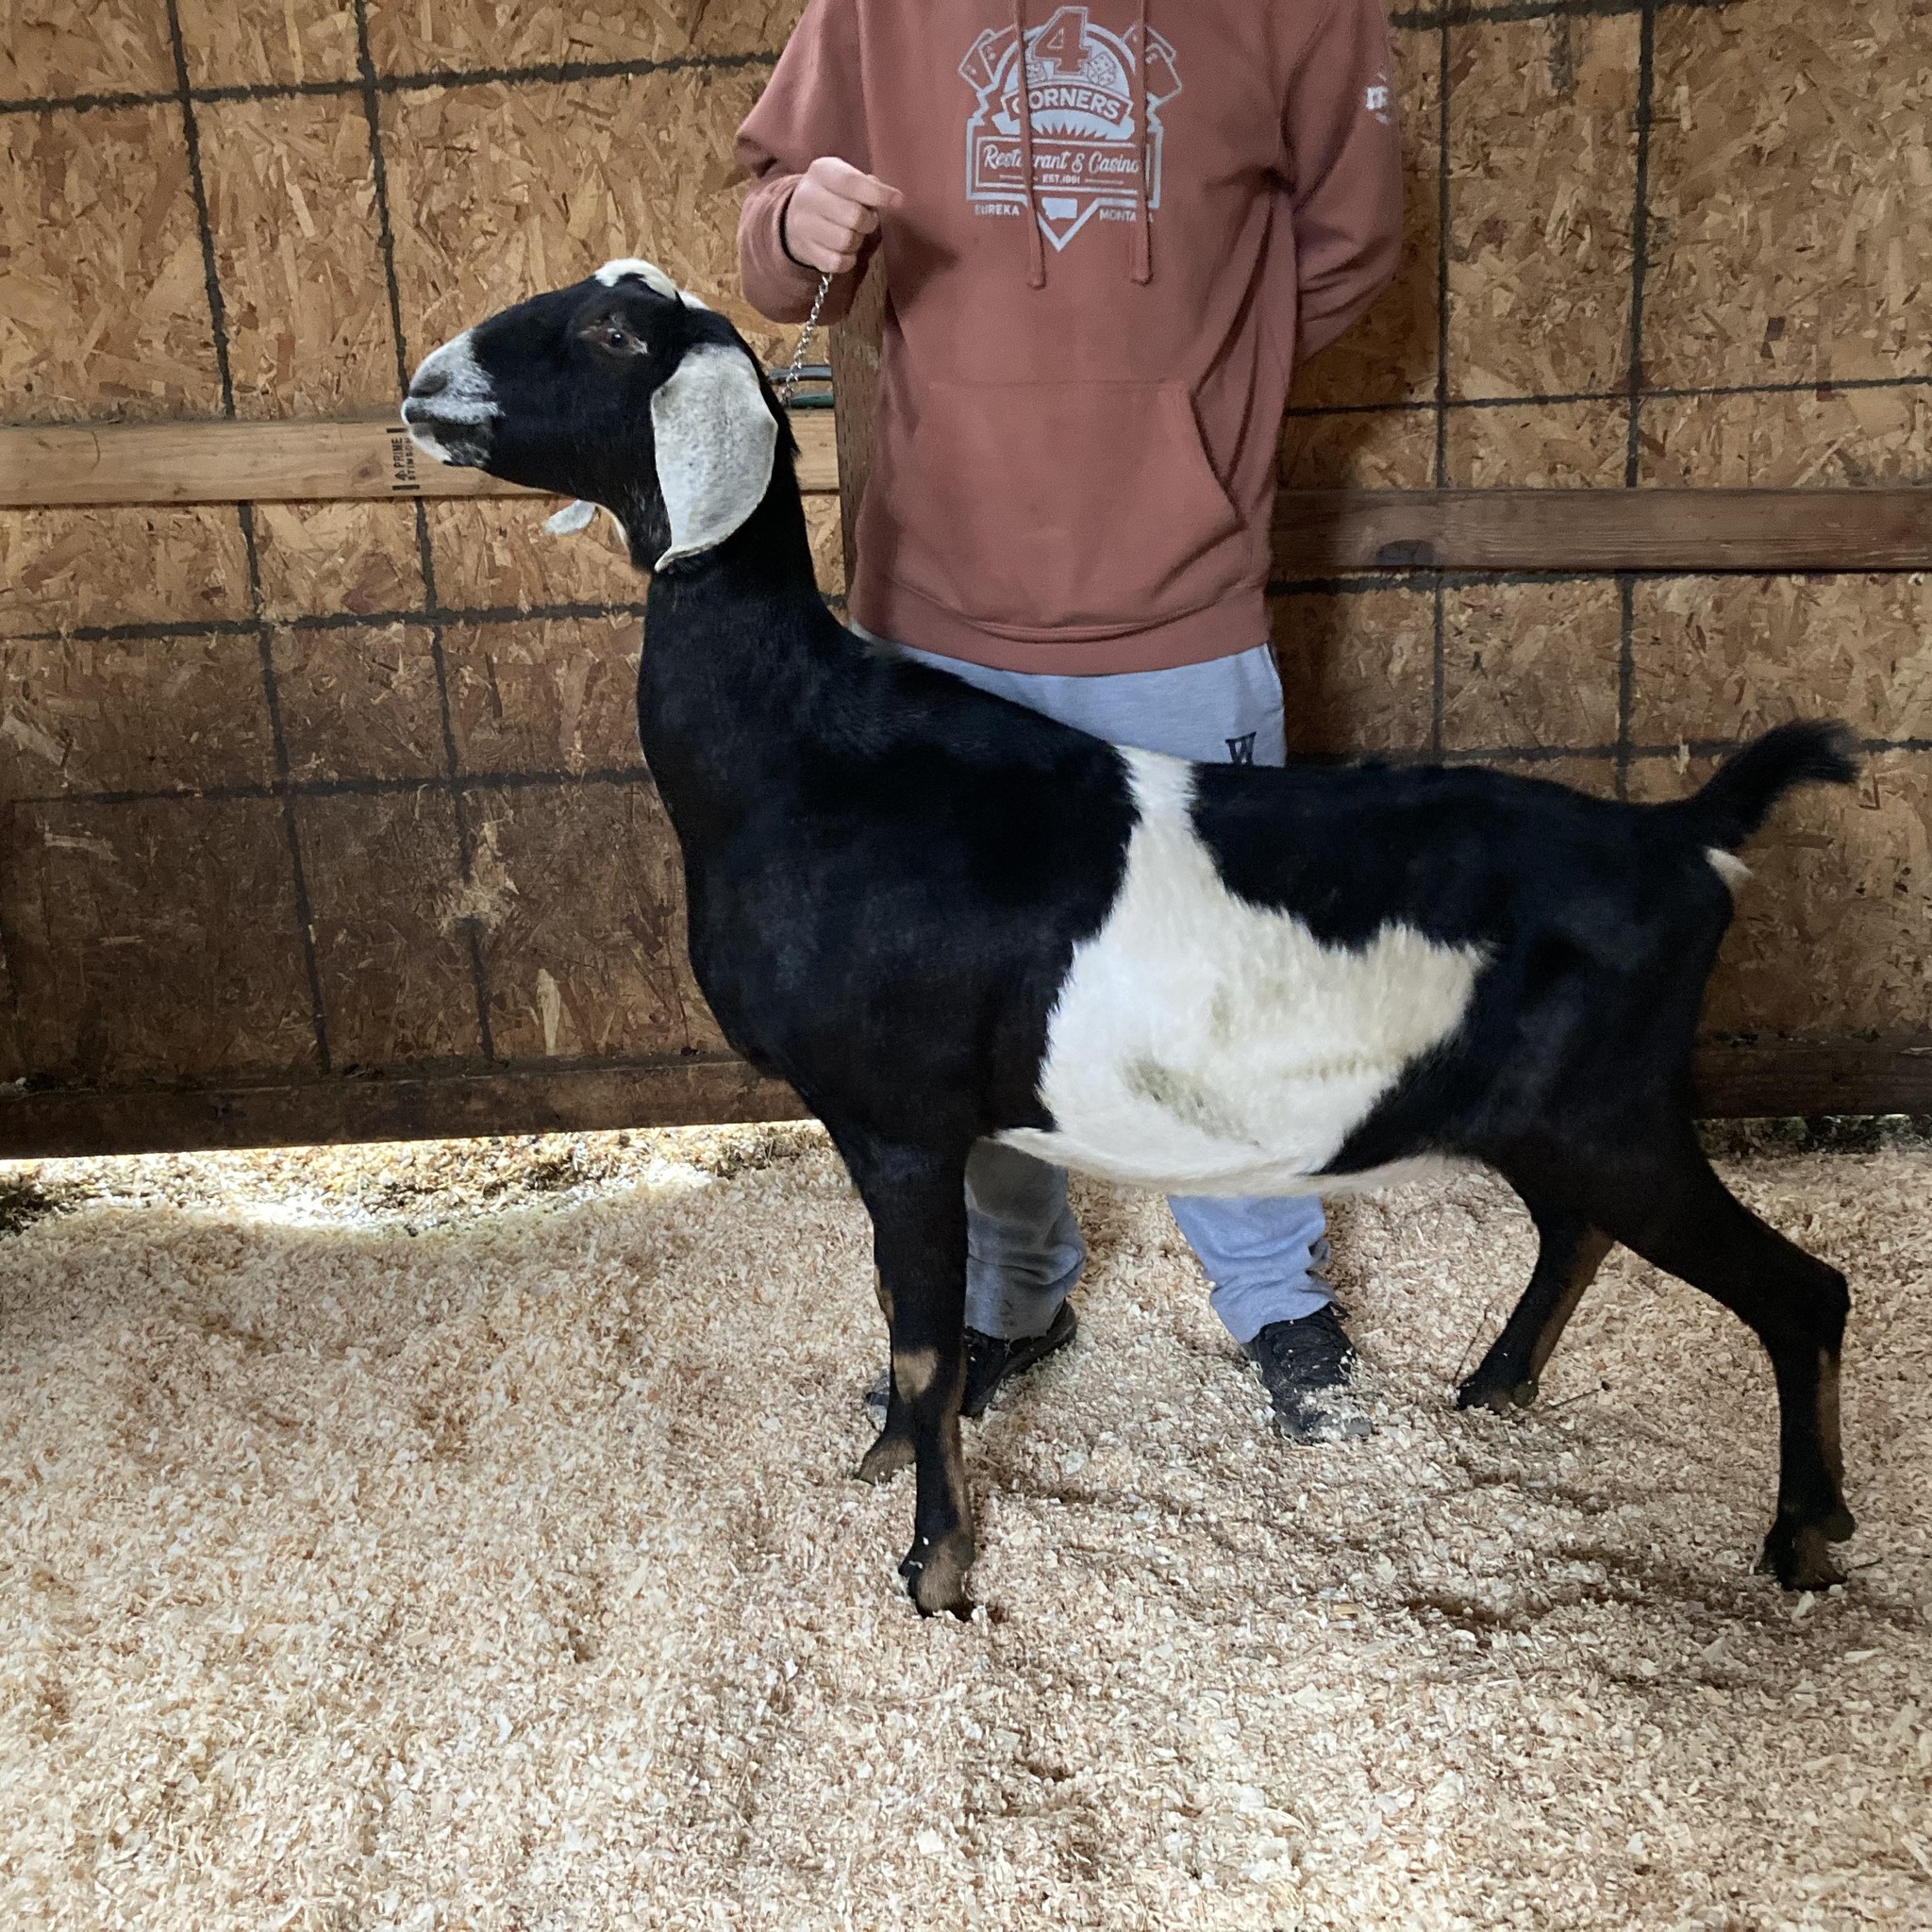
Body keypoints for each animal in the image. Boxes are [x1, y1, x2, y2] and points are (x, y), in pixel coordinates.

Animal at [403, 259, 1861, 1617]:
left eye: (610, 334)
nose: (422, 385)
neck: (802, 750)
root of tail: (1684, 836)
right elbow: (914, 1338)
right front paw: (888, 1461)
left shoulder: (899, 1118)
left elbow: (925, 1344)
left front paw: (935, 1568)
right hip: (1553, 1115)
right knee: (1576, 1230)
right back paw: (1493, 1388)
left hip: (1614, 1111)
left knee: (1803, 1291)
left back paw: (1802, 1541)